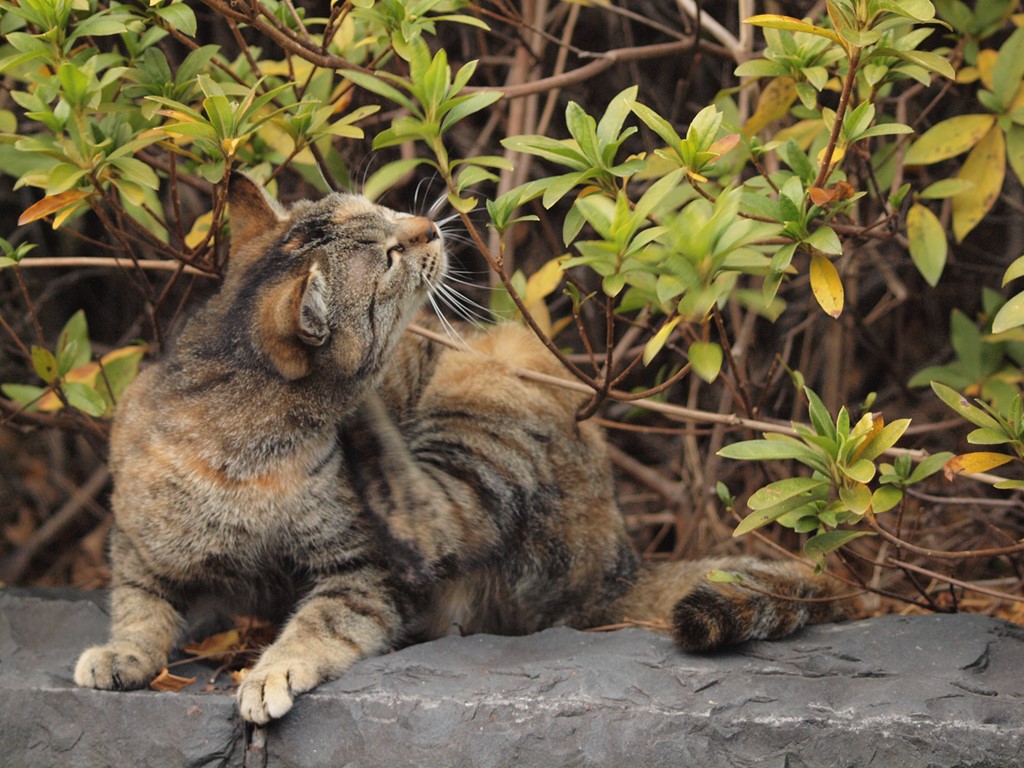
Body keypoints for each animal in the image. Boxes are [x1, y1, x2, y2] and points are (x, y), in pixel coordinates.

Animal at [74, 176, 847, 729]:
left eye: (381, 210)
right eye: (388, 254)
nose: (429, 224)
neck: (246, 455)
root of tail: (621, 565)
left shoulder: (367, 570)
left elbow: (324, 621)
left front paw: (270, 671)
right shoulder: (137, 543)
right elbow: (139, 608)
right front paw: (119, 655)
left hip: (485, 401)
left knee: (433, 520)